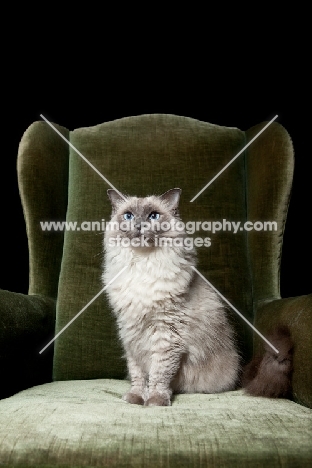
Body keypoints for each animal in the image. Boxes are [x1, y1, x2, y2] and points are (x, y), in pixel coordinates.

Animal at [102, 187, 239, 406]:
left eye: (153, 216)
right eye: (128, 216)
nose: (139, 225)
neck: (142, 265)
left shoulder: (166, 333)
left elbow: (159, 374)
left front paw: (155, 401)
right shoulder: (131, 332)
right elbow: (139, 375)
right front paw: (135, 398)